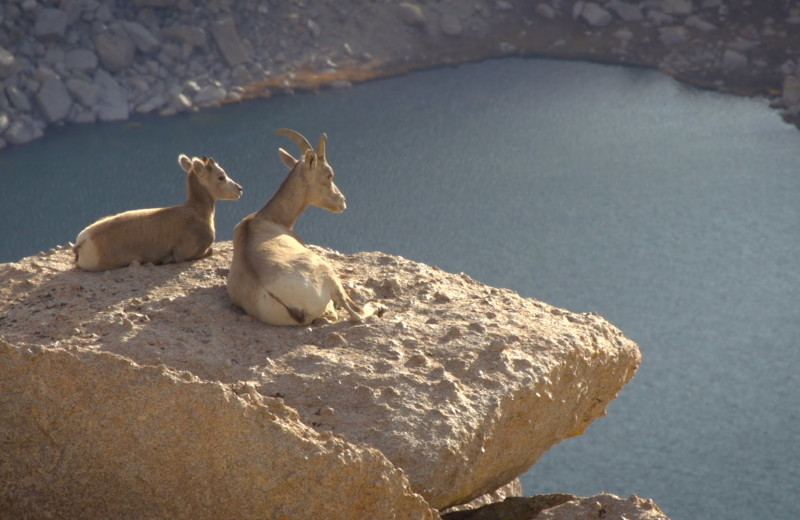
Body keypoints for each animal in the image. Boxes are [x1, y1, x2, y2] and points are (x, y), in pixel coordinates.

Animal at [227, 129, 386, 324]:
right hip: (327, 272)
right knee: (355, 312)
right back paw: (377, 307)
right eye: (329, 174)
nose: (342, 202)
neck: (268, 219)